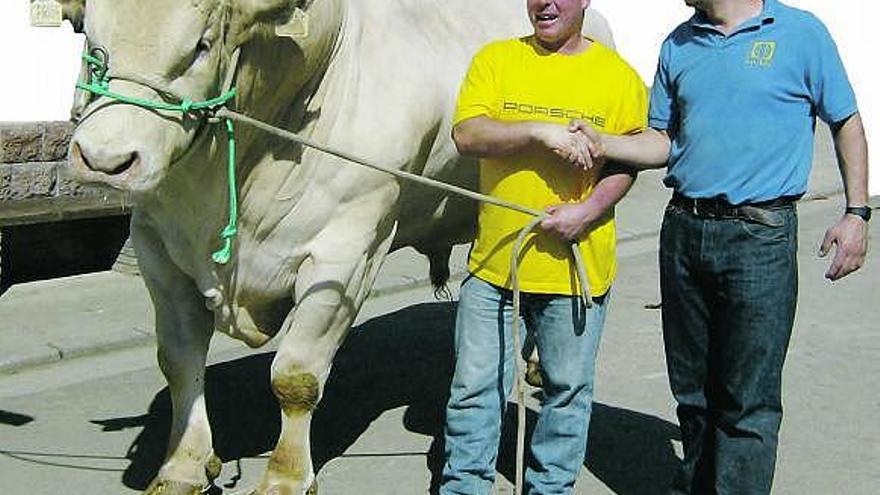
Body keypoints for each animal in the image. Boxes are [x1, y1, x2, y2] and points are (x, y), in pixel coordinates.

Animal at [58, 1, 616, 494]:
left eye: (201, 45)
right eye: (90, 40)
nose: (104, 160)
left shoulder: (347, 253)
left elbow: (296, 377)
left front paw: (285, 477)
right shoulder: (157, 246)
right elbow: (178, 362)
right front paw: (183, 467)